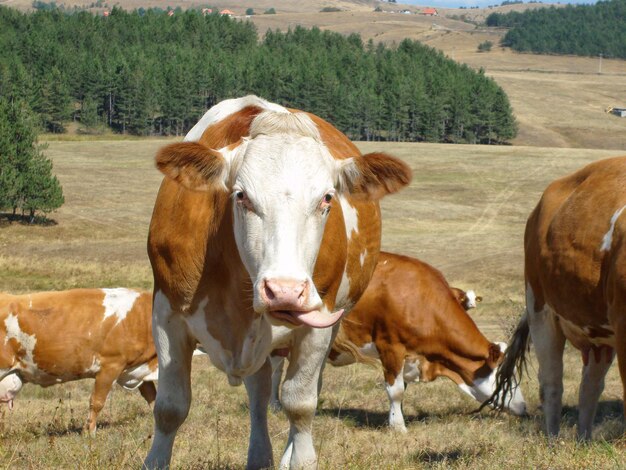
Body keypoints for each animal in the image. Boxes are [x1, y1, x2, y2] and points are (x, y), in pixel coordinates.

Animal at [144, 96, 412, 470]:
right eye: (241, 196)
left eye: (327, 198)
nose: (284, 291)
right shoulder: (166, 315)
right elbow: (170, 408)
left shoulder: (317, 323)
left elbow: (299, 404)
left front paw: (298, 458)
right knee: (258, 395)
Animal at [270, 252, 524, 432]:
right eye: (505, 380)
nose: (525, 407)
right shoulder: (390, 347)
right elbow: (396, 390)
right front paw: (398, 426)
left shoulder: (409, 357)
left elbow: (402, 389)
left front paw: (395, 417)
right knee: (274, 370)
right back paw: (274, 405)